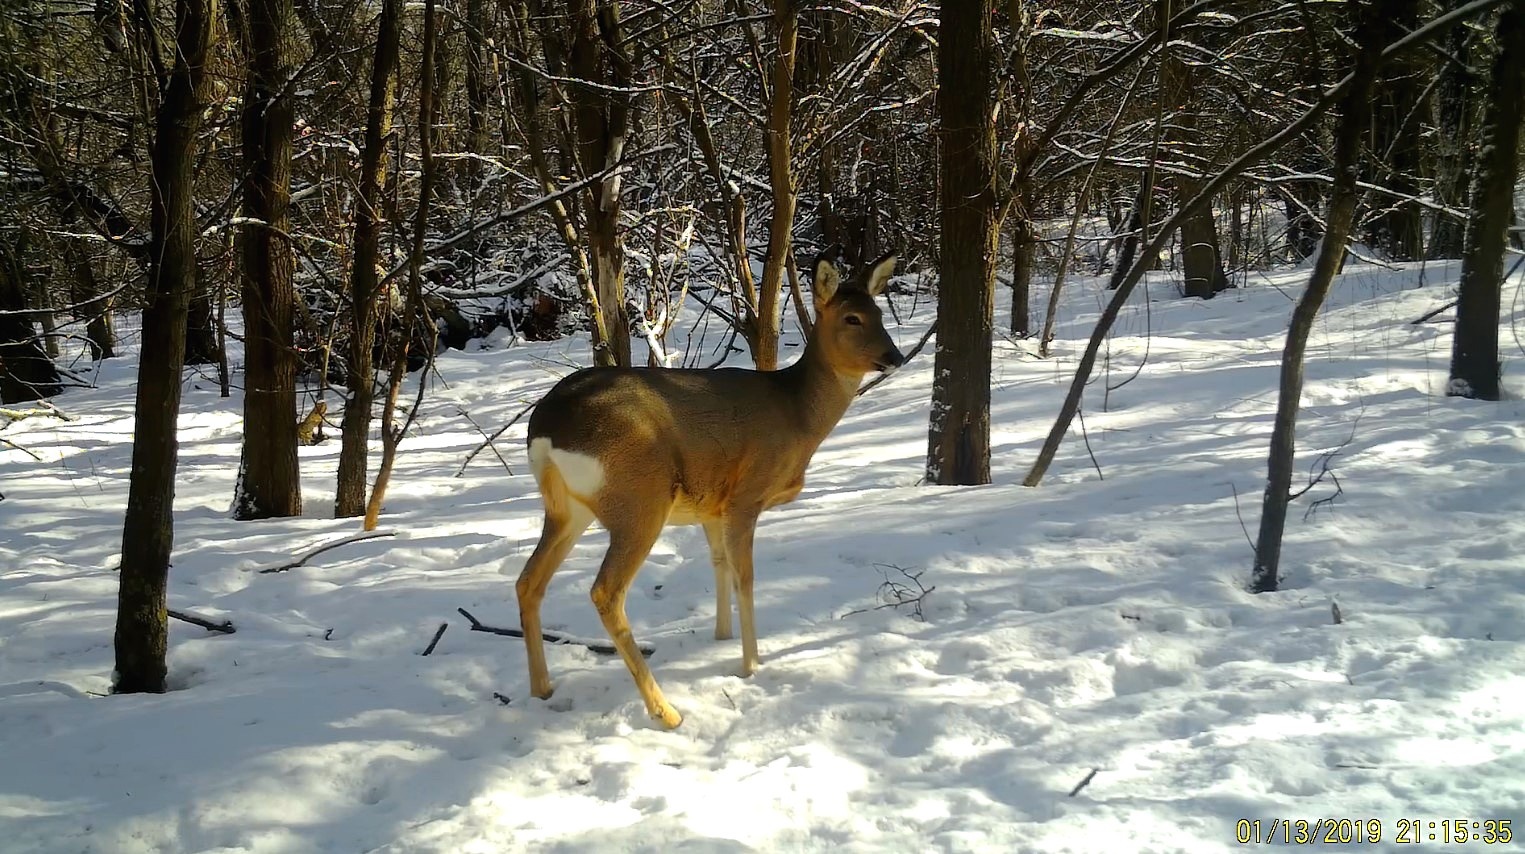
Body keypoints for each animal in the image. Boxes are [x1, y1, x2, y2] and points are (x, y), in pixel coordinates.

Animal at [518, 251, 902, 725]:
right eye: (852, 318)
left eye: (879, 313)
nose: (895, 355)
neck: (797, 415)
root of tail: (544, 427)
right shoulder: (746, 495)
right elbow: (746, 577)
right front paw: (751, 663)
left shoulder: (710, 504)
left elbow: (719, 565)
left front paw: (721, 636)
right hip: (639, 501)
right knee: (605, 591)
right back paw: (665, 711)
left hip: (567, 508)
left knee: (528, 581)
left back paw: (542, 689)